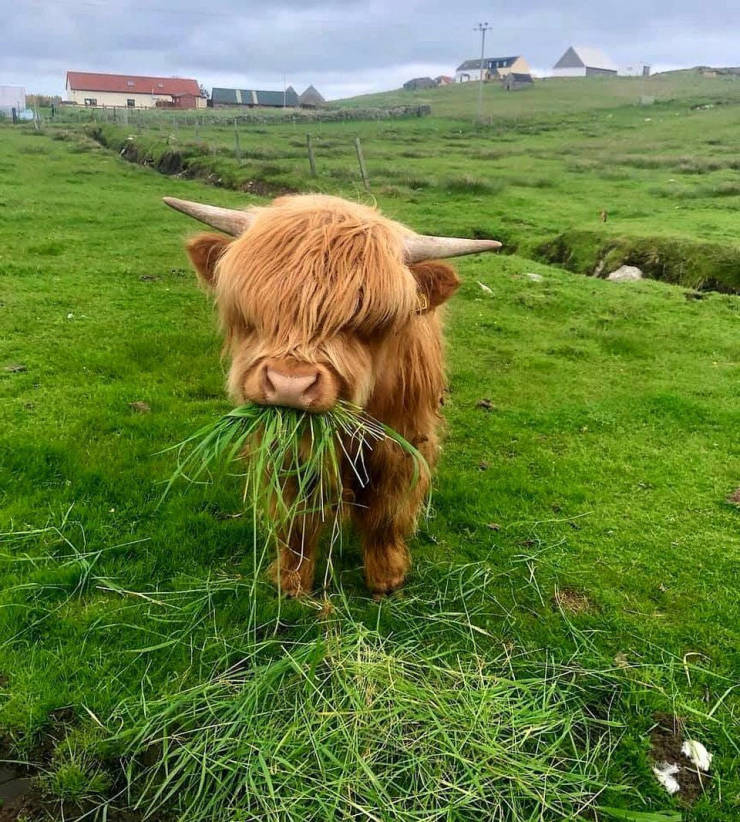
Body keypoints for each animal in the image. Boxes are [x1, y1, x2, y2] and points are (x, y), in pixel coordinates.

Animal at [162, 196, 498, 596]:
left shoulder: (402, 441)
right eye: (253, 311)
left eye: (368, 321)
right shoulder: (287, 448)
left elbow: (387, 510)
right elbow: (296, 516)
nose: (290, 384)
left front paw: (386, 576)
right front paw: (290, 580)